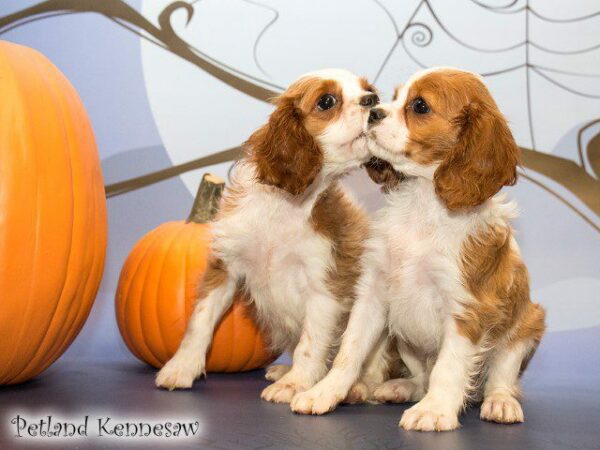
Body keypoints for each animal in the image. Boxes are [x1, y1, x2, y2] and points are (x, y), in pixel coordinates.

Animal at [156, 69, 394, 404]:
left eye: (369, 90)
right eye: (326, 101)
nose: (372, 101)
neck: (286, 207)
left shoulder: (325, 284)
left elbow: (311, 342)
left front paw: (295, 384)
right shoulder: (226, 265)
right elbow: (200, 320)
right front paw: (181, 367)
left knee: (375, 368)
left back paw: (357, 388)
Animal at [292, 67, 548, 432]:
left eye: (420, 106)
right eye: (393, 97)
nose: (373, 111)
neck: (422, 201)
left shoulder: (467, 307)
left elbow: (449, 366)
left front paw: (436, 410)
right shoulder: (372, 293)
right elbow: (349, 351)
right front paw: (324, 393)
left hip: (526, 325)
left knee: (500, 378)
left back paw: (500, 403)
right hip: (404, 341)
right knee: (421, 377)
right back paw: (399, 387)